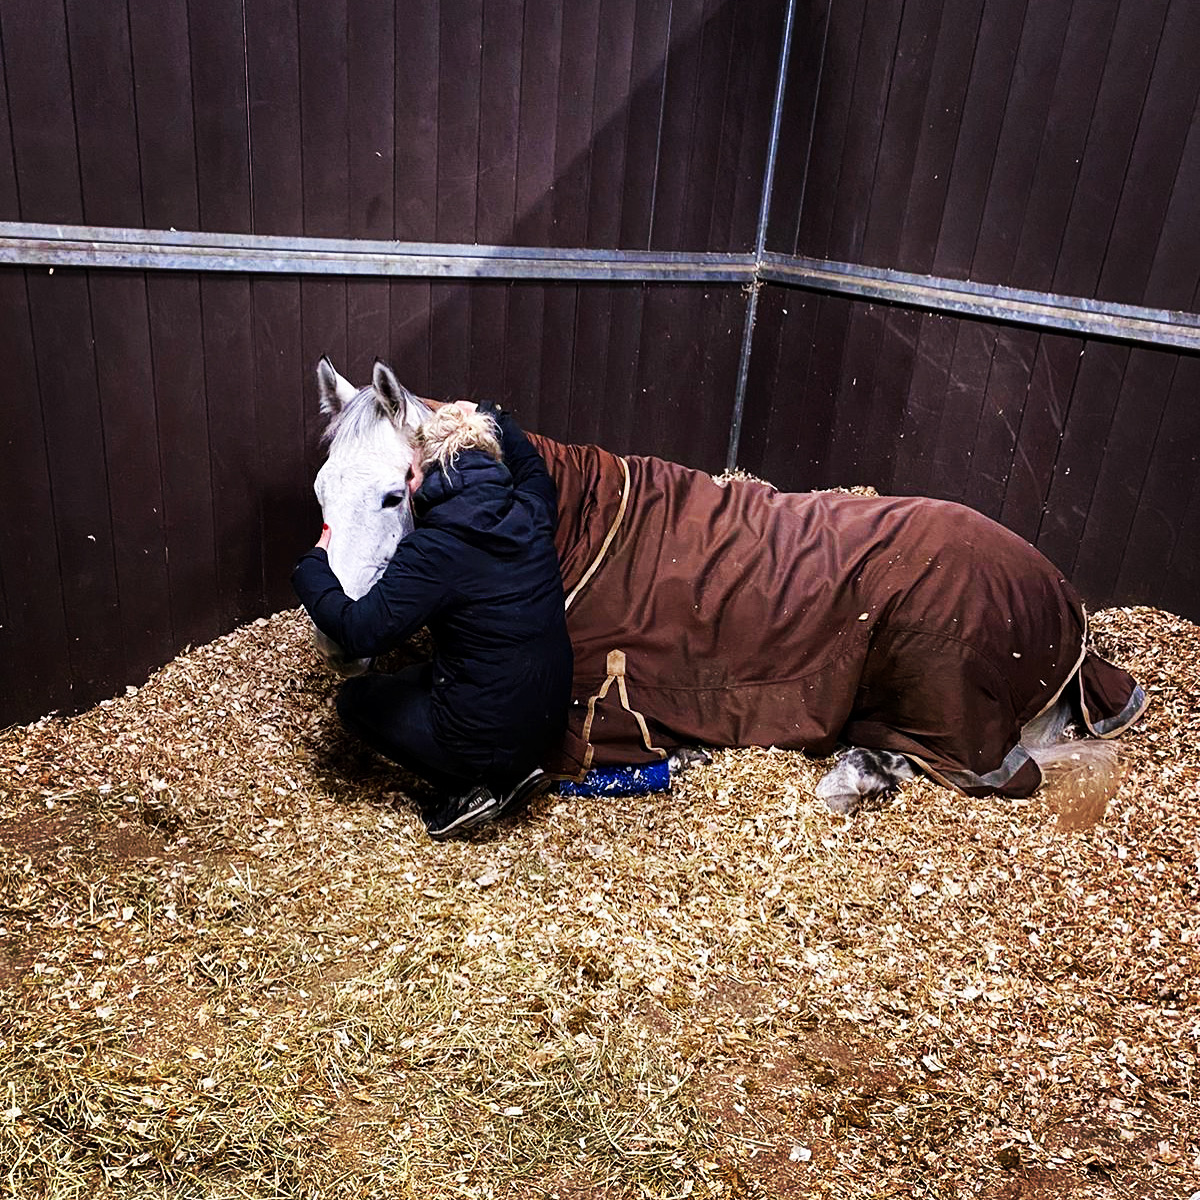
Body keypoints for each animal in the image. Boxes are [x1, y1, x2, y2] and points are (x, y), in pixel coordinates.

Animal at [307, 360, 1142, 820]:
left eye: (393, 495)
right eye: (320, 493)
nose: (337, 639)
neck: (567, 525)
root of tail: (1064, 604)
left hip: (937, 681)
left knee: (976, 766)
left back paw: (856, 776)